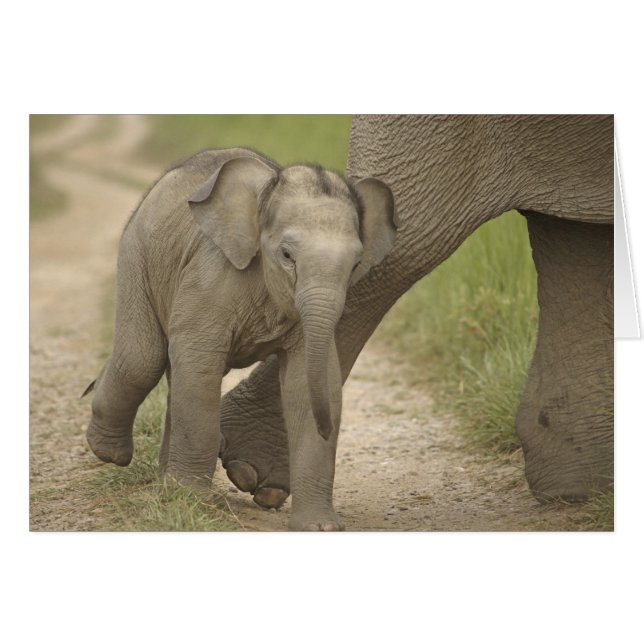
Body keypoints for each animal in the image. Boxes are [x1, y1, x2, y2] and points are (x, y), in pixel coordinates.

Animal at [84, 147, 396, 530]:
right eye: (287, 256)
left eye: (355, 265)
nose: (328, 430)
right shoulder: (210, 278)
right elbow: (199, 362)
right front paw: (194, 502)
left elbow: (308, 385)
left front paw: (319, 528)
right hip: (137, 254)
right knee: (143, 359)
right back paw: (110, 453)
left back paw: (166, 484)